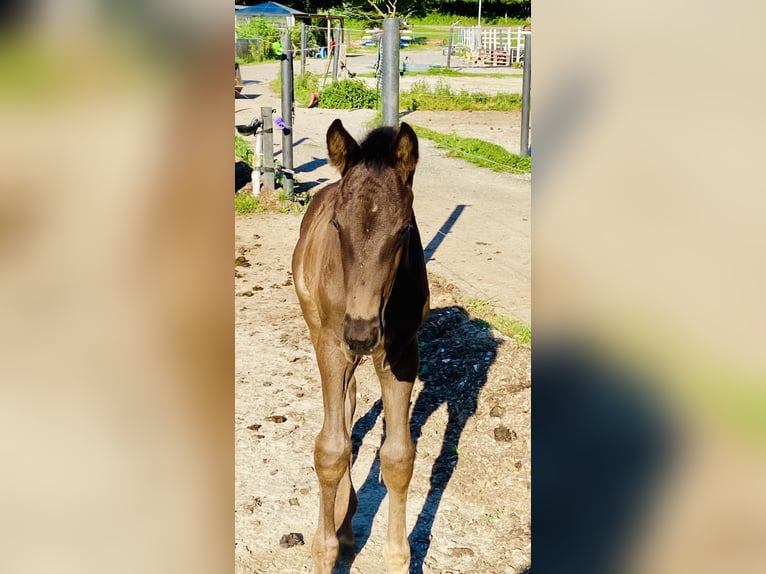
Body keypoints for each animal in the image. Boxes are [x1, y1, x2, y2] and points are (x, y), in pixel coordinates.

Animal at [292, 119, 430, 574]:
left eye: (404, 229)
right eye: (338, 226)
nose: (361, 332)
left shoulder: (401, 354)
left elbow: (399, 457)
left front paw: (397, 557)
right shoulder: (333, 347)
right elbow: (330, 451)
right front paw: (324, 551)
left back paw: (348, 526)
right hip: (320, 331)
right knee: (344, 413)